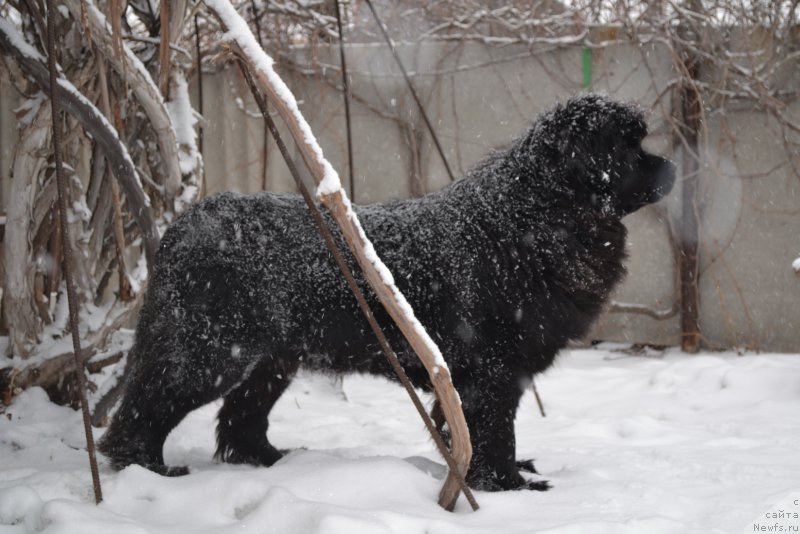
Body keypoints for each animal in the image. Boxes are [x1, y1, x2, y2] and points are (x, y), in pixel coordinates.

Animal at [98, 94, 676, 492]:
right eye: (628, 147)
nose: (670, 165)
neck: (526, 222)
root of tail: (185, 224)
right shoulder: (490, 370)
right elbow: (494, 431)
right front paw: (509, 485)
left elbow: (494, 432)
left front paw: (512, 472)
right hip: (211, 351)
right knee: (147, 406)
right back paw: (149, 469)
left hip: (272, 359)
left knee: (240, 422)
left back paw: (277, 460)